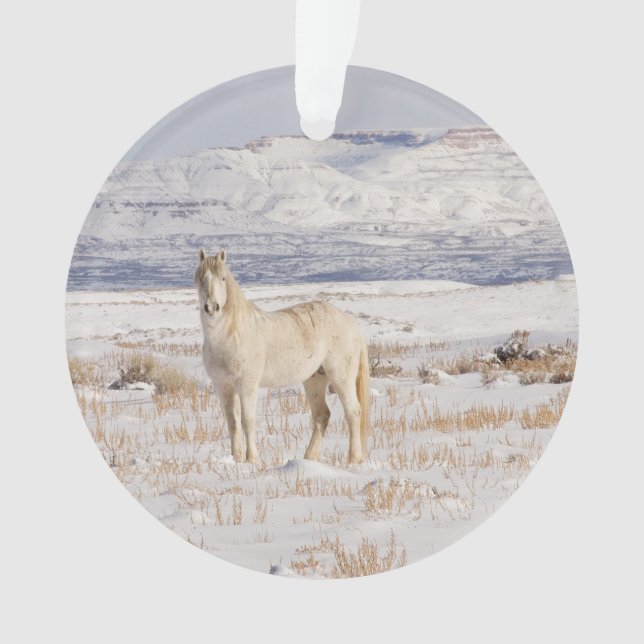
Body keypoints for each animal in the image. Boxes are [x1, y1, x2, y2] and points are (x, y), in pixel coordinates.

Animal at [196, 249, 370, 465]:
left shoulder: (247, 385)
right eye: (201, 278)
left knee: (353, 412)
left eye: (223, 278)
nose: (212, 307)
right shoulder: (223, 387)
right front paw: (236, 459)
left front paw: (252, 459)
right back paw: (309, 457)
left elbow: (247, 421)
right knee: (322, 415)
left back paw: (354, 459)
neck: (229, 335)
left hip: (341, 377)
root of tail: (351, 323)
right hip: (315, 380)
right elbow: (232, 423)